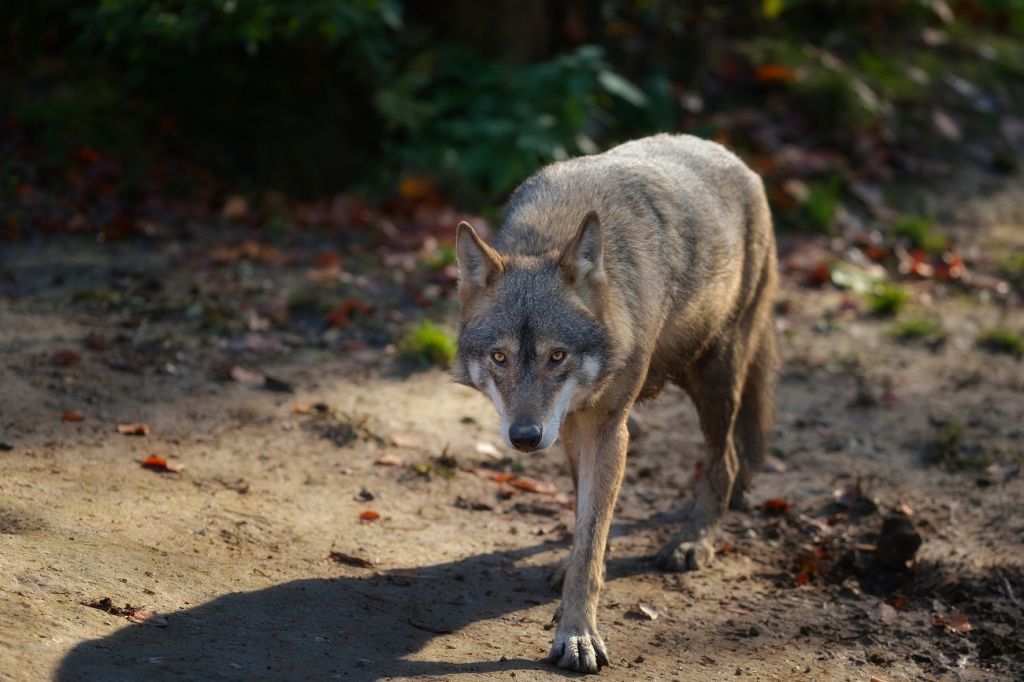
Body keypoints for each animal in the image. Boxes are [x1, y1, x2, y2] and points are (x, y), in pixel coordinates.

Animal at [454, 131, 774, 667]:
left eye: (557, 355)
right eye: (499, 357)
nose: (524, 437)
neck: (550, 236)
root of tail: (731, 156)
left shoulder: (607, 427)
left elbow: (591, 536)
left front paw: (577, 634)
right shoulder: (571, 425)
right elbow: (586, 518)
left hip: (713, 375)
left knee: (725, 459)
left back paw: (693, 542)